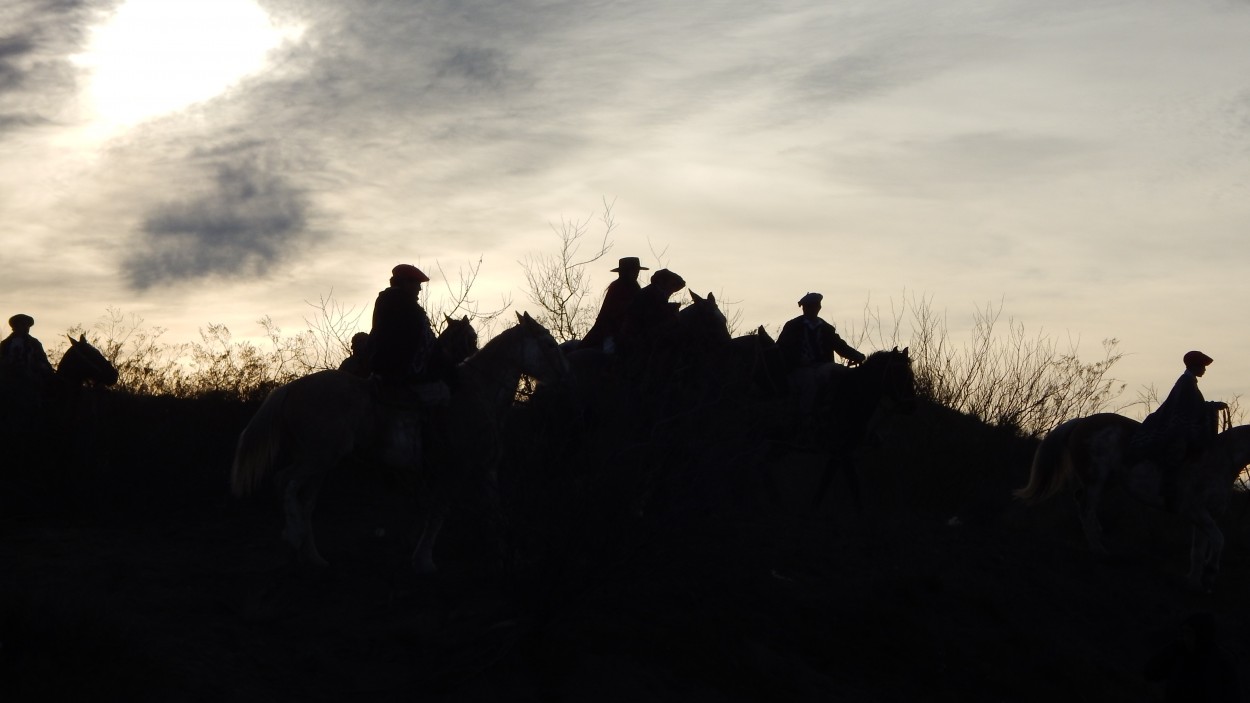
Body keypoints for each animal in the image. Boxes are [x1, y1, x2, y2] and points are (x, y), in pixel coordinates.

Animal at [232, 310, 570, 570]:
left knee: (305, 501)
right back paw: (293, 535)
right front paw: (424, 560)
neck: (476, 393)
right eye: (547, 343)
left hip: (321, 463)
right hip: (318, 458)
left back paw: (312, 556)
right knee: (285, 483)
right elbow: (439, 513)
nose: (564, 374)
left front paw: (507, 555)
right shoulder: (453, 469)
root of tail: (291, 388)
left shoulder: (485, 471)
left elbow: (495, 514)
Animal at [1015, 410, 1250, 590]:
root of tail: (1082, 422)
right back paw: (1100, 551)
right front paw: (1210, 573)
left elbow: (1199, 550)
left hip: (1107, 481)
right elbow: (1218, 540)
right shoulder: (1194, 510)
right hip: (1096, 480)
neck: (1219, 460)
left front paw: (1193, 582)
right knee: (1086, 509)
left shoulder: (1202, 517)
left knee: (1082, 503)